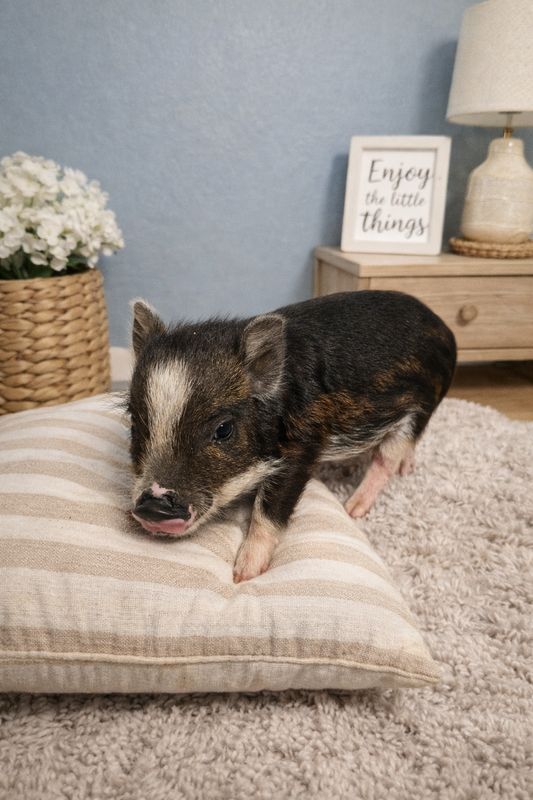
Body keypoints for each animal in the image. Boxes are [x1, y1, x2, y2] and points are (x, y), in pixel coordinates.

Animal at [127, 291, 456, 582]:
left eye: (223, 429)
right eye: (133, 421)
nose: (153, 505)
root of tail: (444, 327)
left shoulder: (303, 447)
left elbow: (269, 509)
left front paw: (243, 575)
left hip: (422, 405)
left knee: (386, 459)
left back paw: (353, 508)